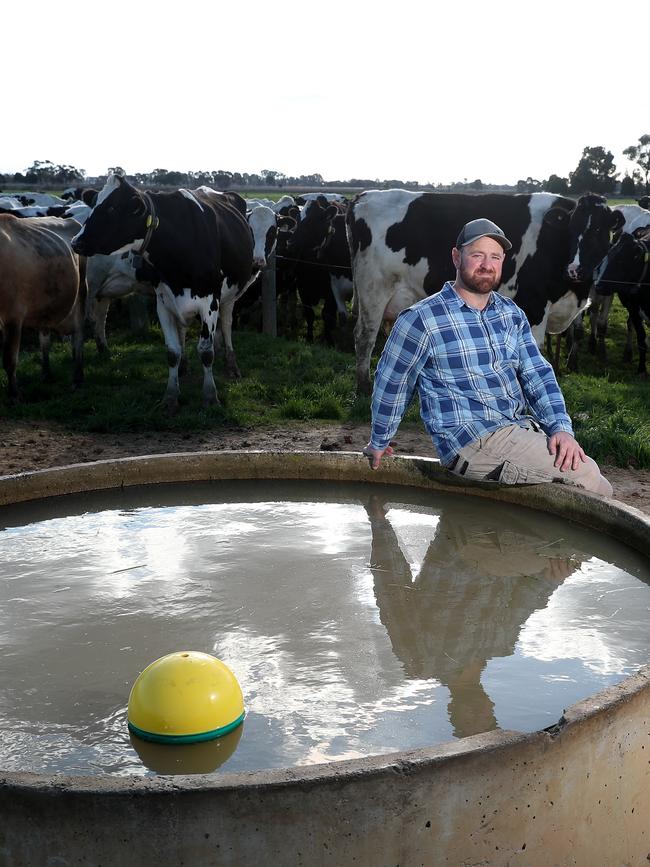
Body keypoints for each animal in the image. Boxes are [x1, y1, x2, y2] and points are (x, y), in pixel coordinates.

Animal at [0, 214, 85, 404]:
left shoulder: (13, 317)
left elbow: (9, 359)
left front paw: (14, 395)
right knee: (45, 337)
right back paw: (46, 374)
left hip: (82, 291)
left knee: (78, 334)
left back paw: (77, 379)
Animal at [70, 175, 253, 412]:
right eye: (94, 204)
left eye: (112, 207)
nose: (76, 242)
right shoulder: (164, 301)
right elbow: (172, 352)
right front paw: (170, 396)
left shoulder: (209, 301)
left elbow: (206, 351)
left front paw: (210, 397)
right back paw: (184, 368)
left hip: (230, 296)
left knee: (227, 324)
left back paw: (232, 366)